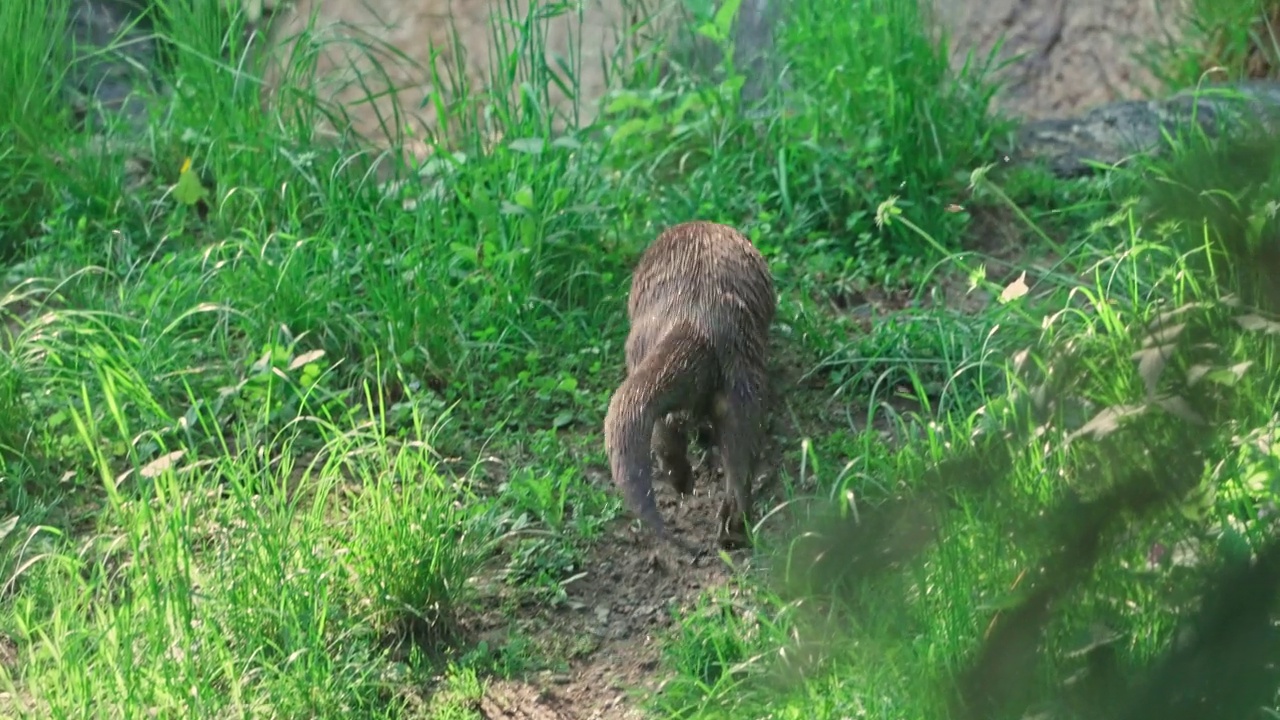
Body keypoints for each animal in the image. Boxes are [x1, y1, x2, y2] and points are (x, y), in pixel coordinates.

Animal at [604, 219, 773, 543]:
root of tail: (694, 319)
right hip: (742, 385)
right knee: (740, 450)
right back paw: (732, 526)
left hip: (641, 348)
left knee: (665, 429)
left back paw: (684, 483)